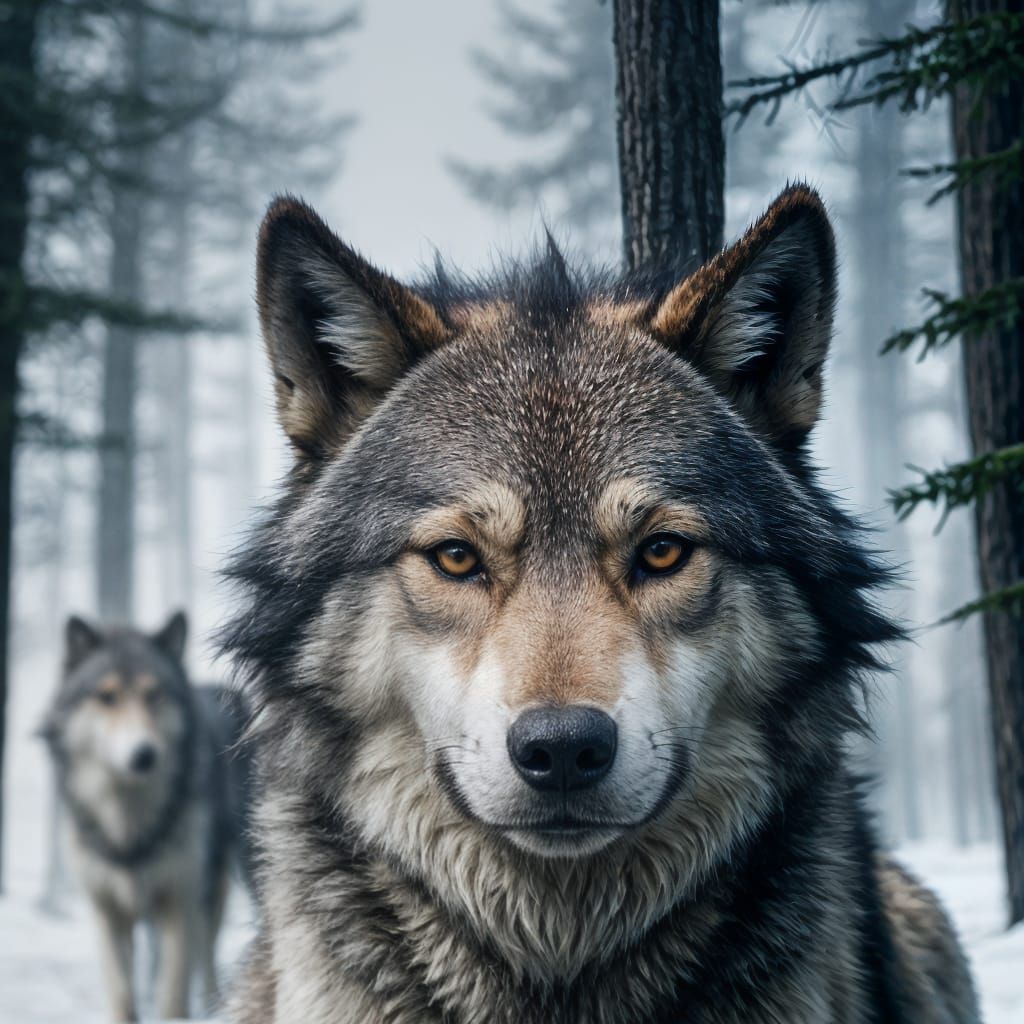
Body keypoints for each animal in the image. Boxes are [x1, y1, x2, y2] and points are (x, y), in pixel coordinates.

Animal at [42, 612, 251, 1022]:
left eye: (154, 694)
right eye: (106, 697)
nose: (144, 754)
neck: (128, 826)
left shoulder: (178, 900)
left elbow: (173, 993)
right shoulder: (106, 910)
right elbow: (123, 996)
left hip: (214, 885)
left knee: (206, 952)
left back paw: (213, 1005)